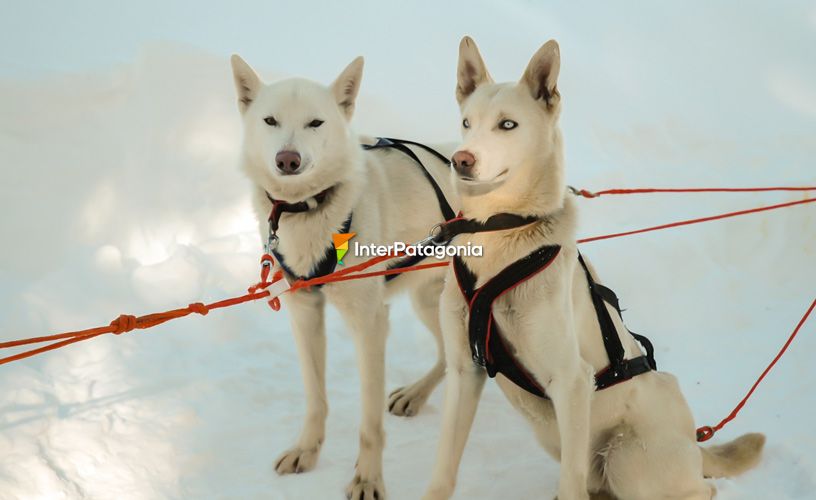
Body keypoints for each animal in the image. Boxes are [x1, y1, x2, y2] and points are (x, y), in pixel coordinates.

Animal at [230, 55, 456, 500]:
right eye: (270, 120)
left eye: (316, 122)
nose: (287, 159)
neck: (310, 210)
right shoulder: (305, 313)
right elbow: (316, 398)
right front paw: (306, 451)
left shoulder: (370, 325)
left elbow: (369, 423)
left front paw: (368, 478)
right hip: (427, 300)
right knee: (445, 356)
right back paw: (415, 394)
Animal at [420, 38, 764, 500]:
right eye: (466, 123)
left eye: (507, 125)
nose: (462, 159)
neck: (501, 231)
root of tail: (694, 442)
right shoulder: (464, 370)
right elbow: (443, 470)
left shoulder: (571, 381)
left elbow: (571, 483)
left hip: (626, 460)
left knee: (691, 490)